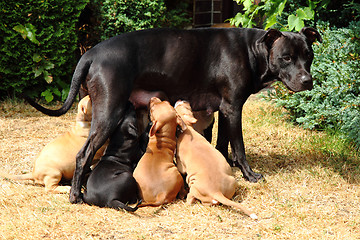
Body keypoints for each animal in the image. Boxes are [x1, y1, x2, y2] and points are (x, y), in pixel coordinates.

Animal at [25, 26, 320, 203]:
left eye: (309, 55)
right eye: (286, 57)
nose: (308, 80)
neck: (252, 50)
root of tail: (90, 55)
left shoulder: (225, 110)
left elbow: (223, 144)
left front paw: (226, 166)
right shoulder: (233, 108)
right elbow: (240, 146)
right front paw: (249, 175)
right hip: (109, 112)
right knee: (83, 153)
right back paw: (75, 194)